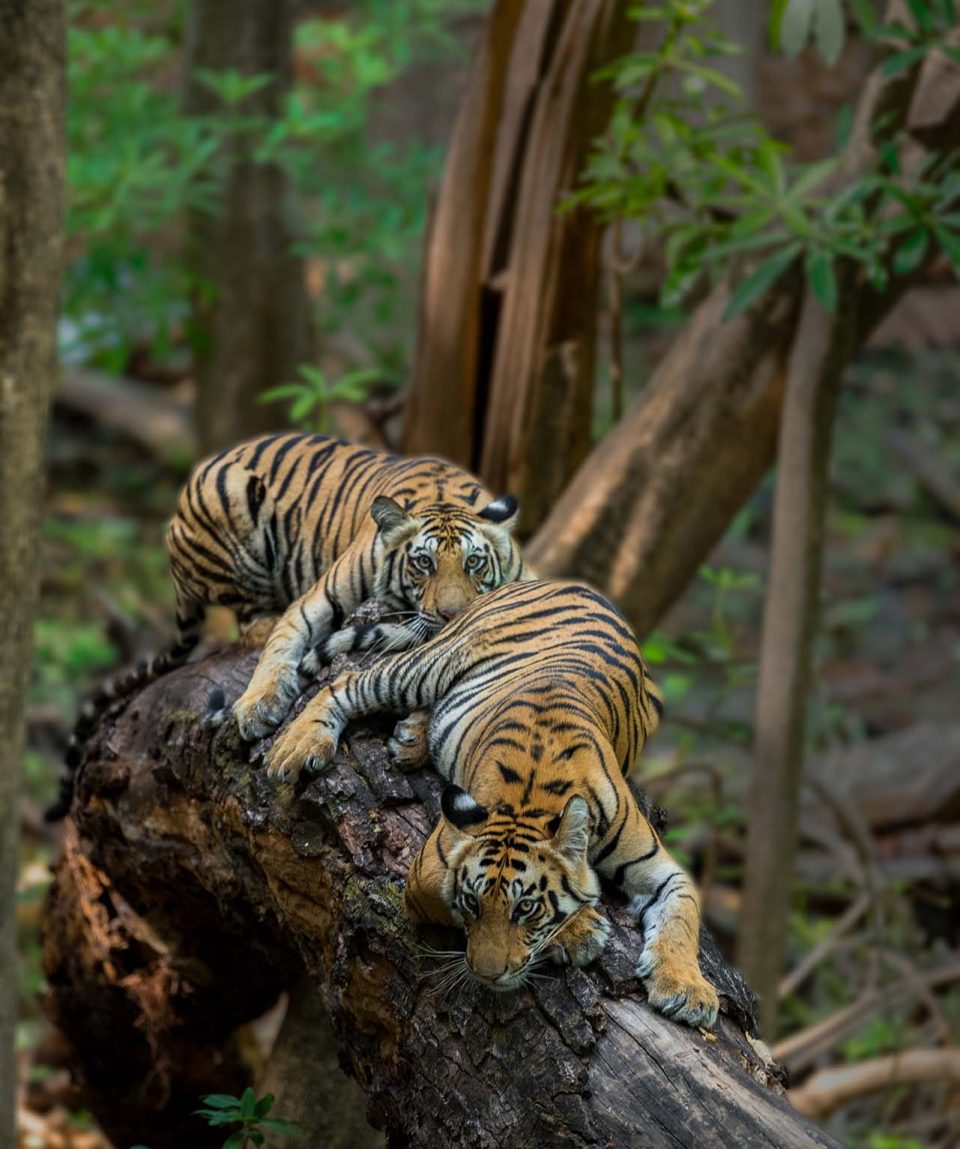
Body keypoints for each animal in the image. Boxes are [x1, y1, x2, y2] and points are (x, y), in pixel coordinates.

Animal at [48, 429, 528, 818]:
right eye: (423, 564)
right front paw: (258, 706)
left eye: (473, 563)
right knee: (249, 618)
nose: (453, 615)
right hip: (227, 499)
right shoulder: (314, 601)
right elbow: (282, 646)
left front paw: (413, 736)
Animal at [266, 579, 716, 1029]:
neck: (533, 801)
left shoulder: (660, 867)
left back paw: (411, 737)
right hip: (427, 666)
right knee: (346, 681)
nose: (487, 975)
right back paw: (296, 746)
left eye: (525, 909)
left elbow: (683, 916)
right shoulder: (427, 872)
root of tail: (566, 583)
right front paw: (580, 930)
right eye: (472, 904)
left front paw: (687, 991)